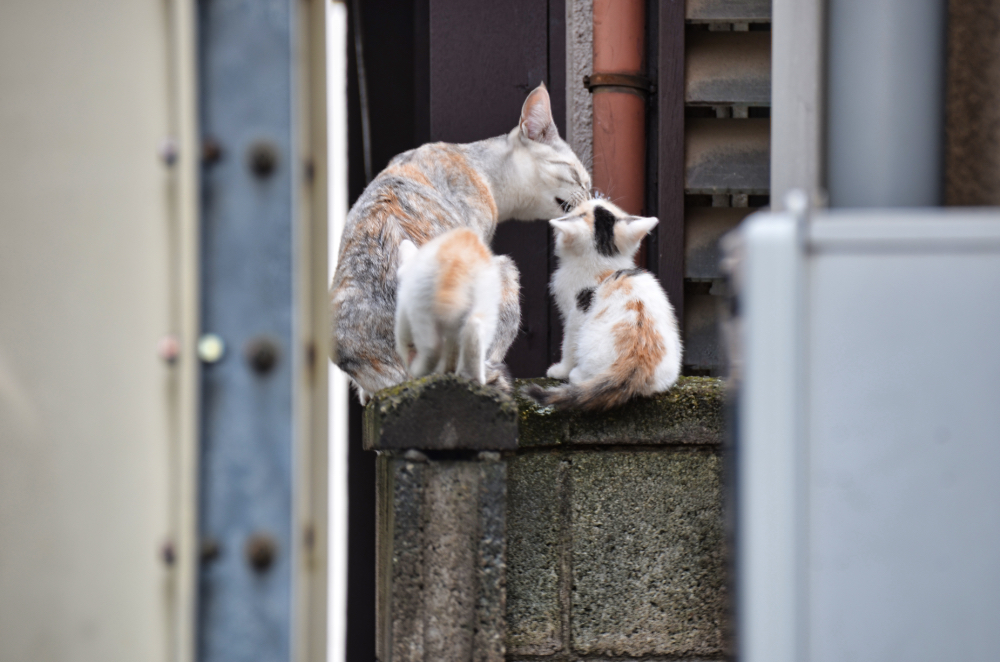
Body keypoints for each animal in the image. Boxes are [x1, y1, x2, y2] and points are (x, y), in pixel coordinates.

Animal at [394, 230, 512, 386]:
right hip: (488, 296)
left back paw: (420, 369)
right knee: (475, 325)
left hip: (423, 300)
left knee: (433, 348)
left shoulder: (405, 306)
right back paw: (472, 377)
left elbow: (405, 341)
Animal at [524, 200, 680, 412]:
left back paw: (577, 375)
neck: (603, 262)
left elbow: (568, 343)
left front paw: (561, 369)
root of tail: (637, 364)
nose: (592, 198)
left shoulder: (575, 314)